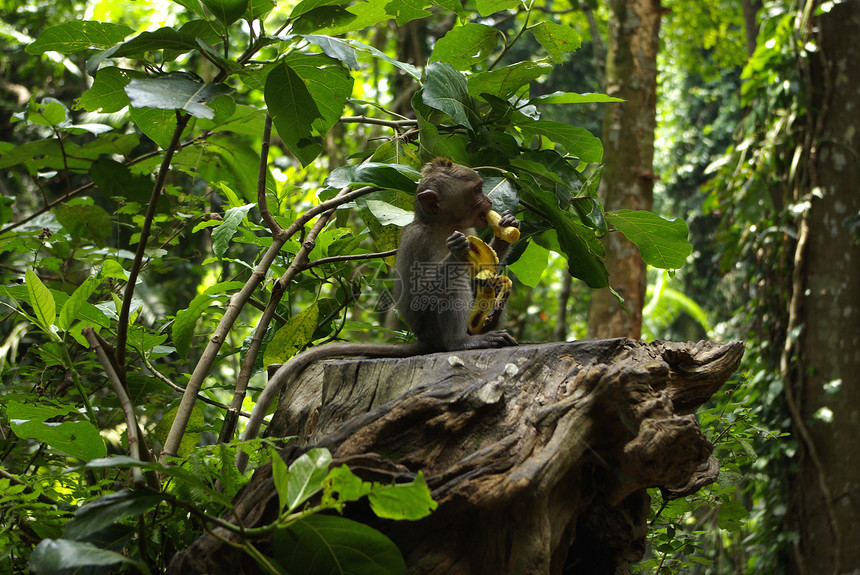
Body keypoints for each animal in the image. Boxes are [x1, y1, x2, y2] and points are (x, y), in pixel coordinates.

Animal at [235, 159, 516, 472]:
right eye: (477, 190)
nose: (490, 200)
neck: (442, 226)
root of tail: (426, 339)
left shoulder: (470, 230)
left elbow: (484, 273)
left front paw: (506, 229)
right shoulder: (418, 241)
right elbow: (418, 297)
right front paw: (458, 251)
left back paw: (491, 317)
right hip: (432, 327)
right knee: (451, 291)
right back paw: (461, 342)